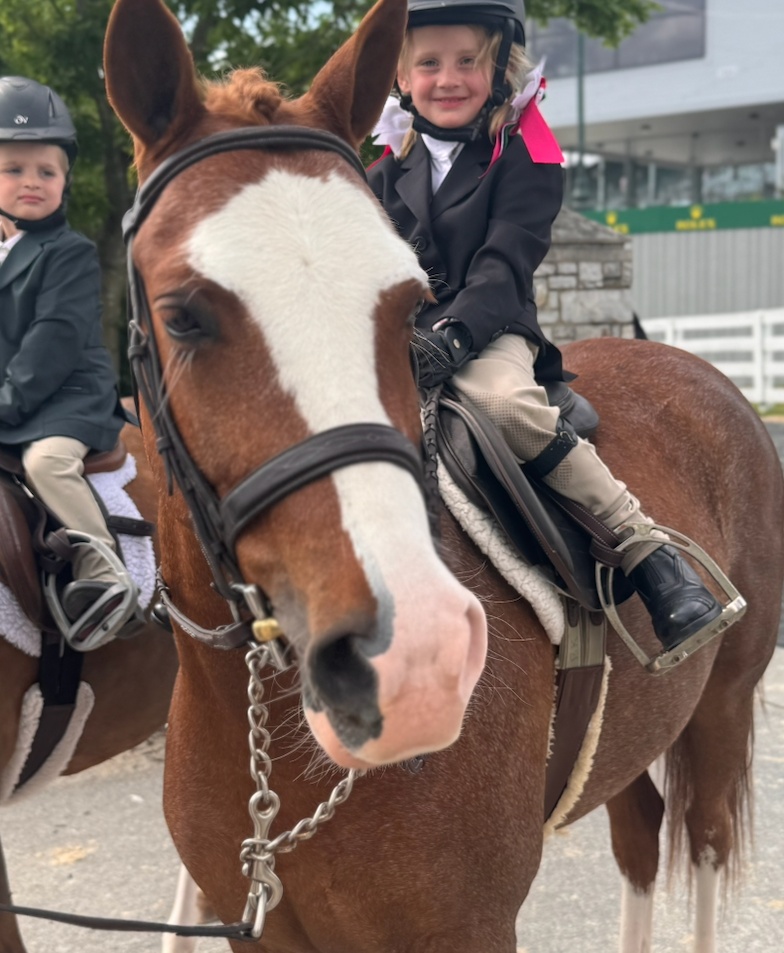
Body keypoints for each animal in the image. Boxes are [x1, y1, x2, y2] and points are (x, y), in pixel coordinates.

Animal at [103, 0, 784, 950]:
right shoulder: (263, 925)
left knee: (708, 842)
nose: (413, 661)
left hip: (723, 704)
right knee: (641, 834)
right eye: (183, 315)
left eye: (409, 303)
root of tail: (706, 375)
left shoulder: (466, 925)